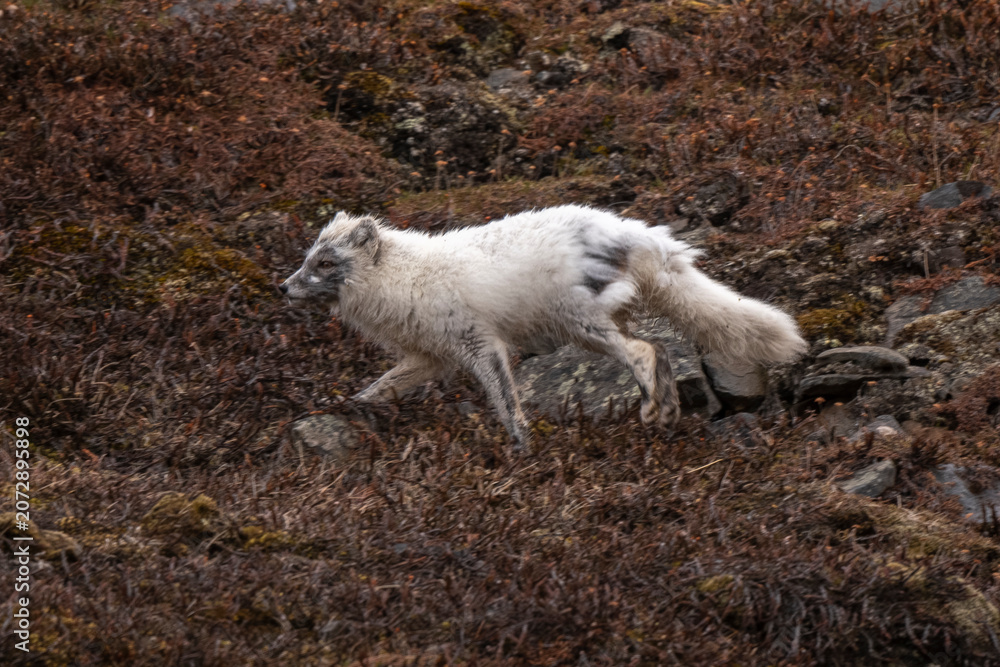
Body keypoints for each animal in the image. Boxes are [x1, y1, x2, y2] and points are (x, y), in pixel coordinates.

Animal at [280, 204, 807, 449]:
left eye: (325, 263)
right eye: (307, 258)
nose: (282, 288)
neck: (404, 279)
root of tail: (642, 236)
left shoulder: (480, 344)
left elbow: (507, 402)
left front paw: (523, 447)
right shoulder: (431, 357)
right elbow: (377, 389)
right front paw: (348, 411)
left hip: (581, 325)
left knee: (643, 352)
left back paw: (651, 410)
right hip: (598, 323)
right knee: (656, 350)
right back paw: (668, 412)